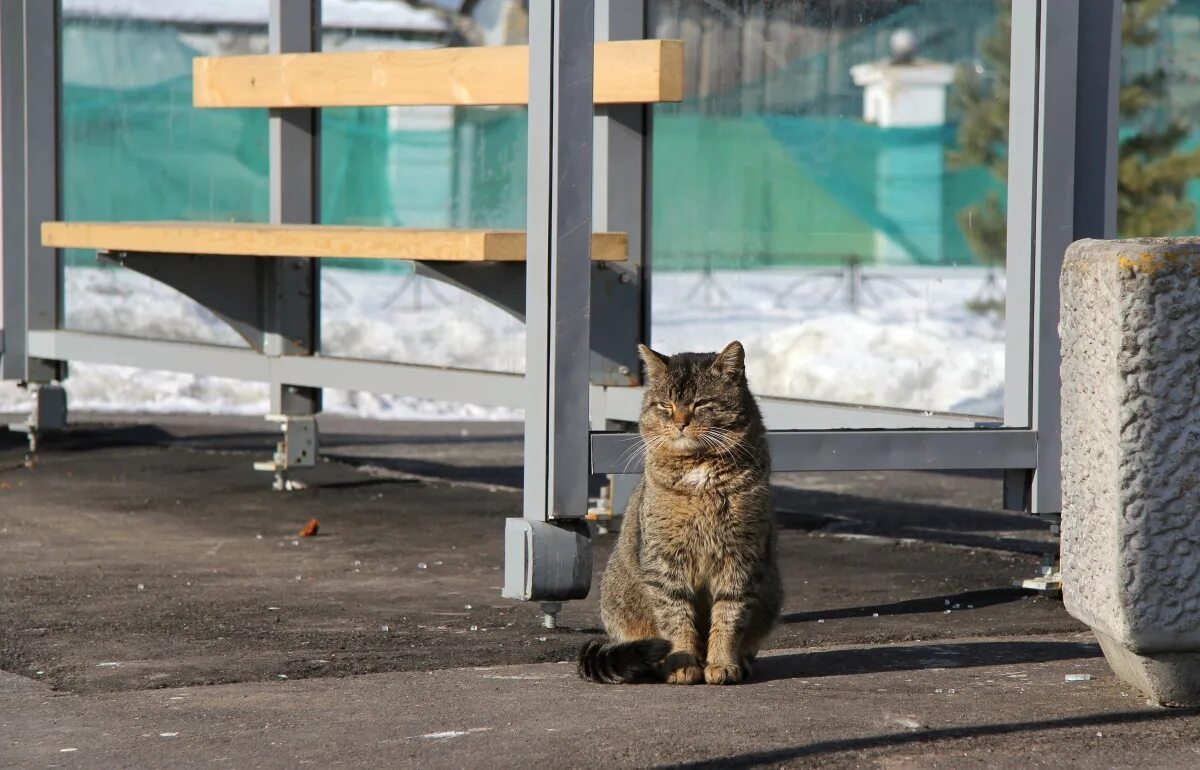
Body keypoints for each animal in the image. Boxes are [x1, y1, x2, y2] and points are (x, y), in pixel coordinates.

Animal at [578, 338, 782, 681]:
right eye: (666, 406)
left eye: (701, 404)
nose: (681, 423)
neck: (699, 472)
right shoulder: (665, 561)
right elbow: (676, 619)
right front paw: (683, 663)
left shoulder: (740, 559)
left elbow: (729, 616)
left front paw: (722, 663)